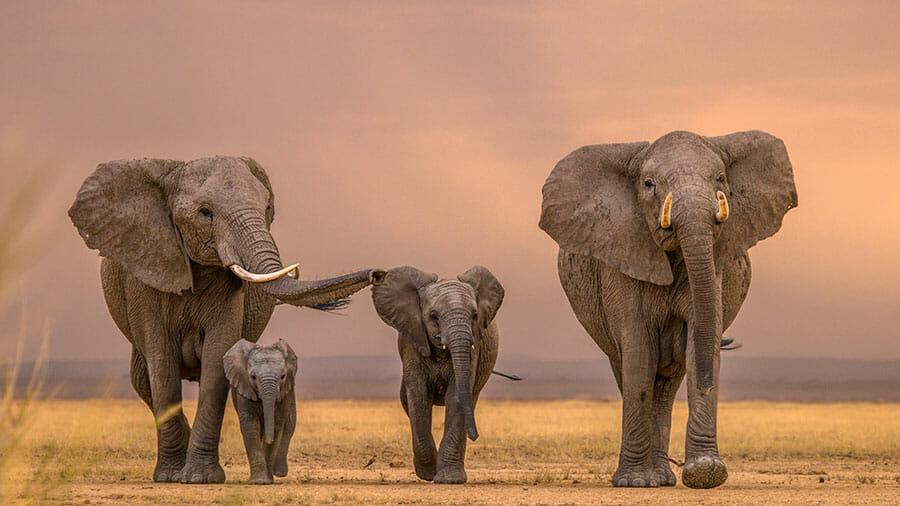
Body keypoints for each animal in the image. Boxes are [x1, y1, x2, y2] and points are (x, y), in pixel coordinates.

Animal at [224, 338, 297, 484]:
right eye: (252, 377)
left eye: (283, 376)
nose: (268, 440)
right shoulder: (244, 388)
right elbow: (250, 425)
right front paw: (259, 481)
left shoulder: (285, 394)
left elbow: (277, 424)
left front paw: (267, 480)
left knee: (289, 427)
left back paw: (279, 473)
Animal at [371, 266, 504, 484]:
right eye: (434, 316)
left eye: (475, 316)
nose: (476, 436)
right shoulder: (412, 340)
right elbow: (418, 395)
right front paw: (427, 474)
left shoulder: (474, 345)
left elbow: (456, 396)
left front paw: (450, 479)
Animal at [539, 130, 797, 488]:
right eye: (649, 184)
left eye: (720, 178)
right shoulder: (621, 258)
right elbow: (638, 353)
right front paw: (634, 482)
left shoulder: (715, 265)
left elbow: (700, 340)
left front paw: (705, 472)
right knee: (629, 369)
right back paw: (647, 478)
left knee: (668, 384)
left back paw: (662, 478)